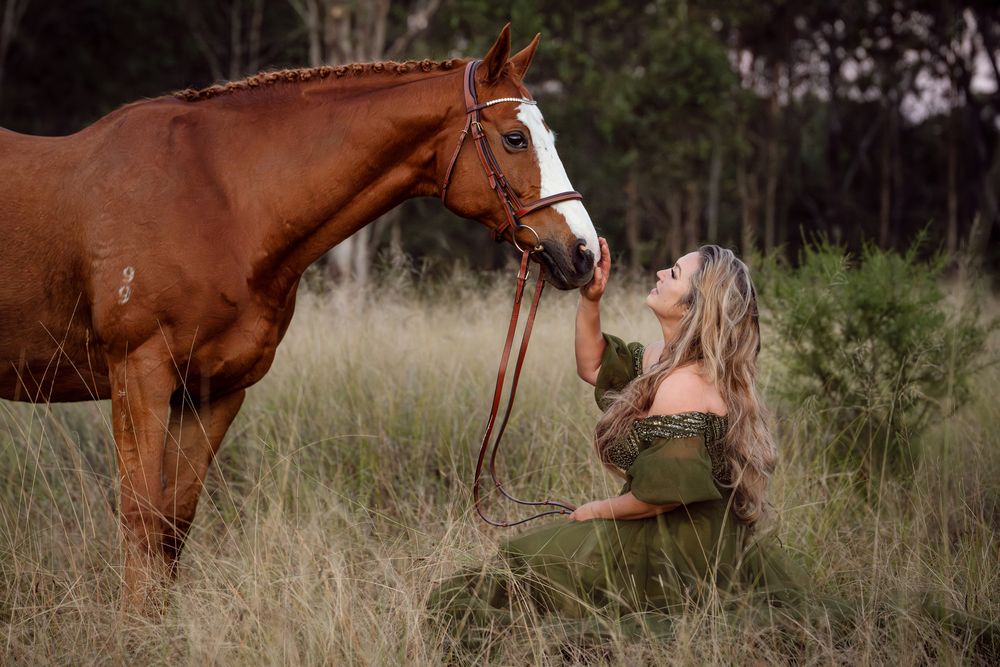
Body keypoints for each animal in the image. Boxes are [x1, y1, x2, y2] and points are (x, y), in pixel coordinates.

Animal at [0, 25, 598, 609]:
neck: (215, 200)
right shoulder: (139, 377)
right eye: (515, 138)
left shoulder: (213, 392)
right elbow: (141, 517)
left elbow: (174, 524)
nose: (584, 253)